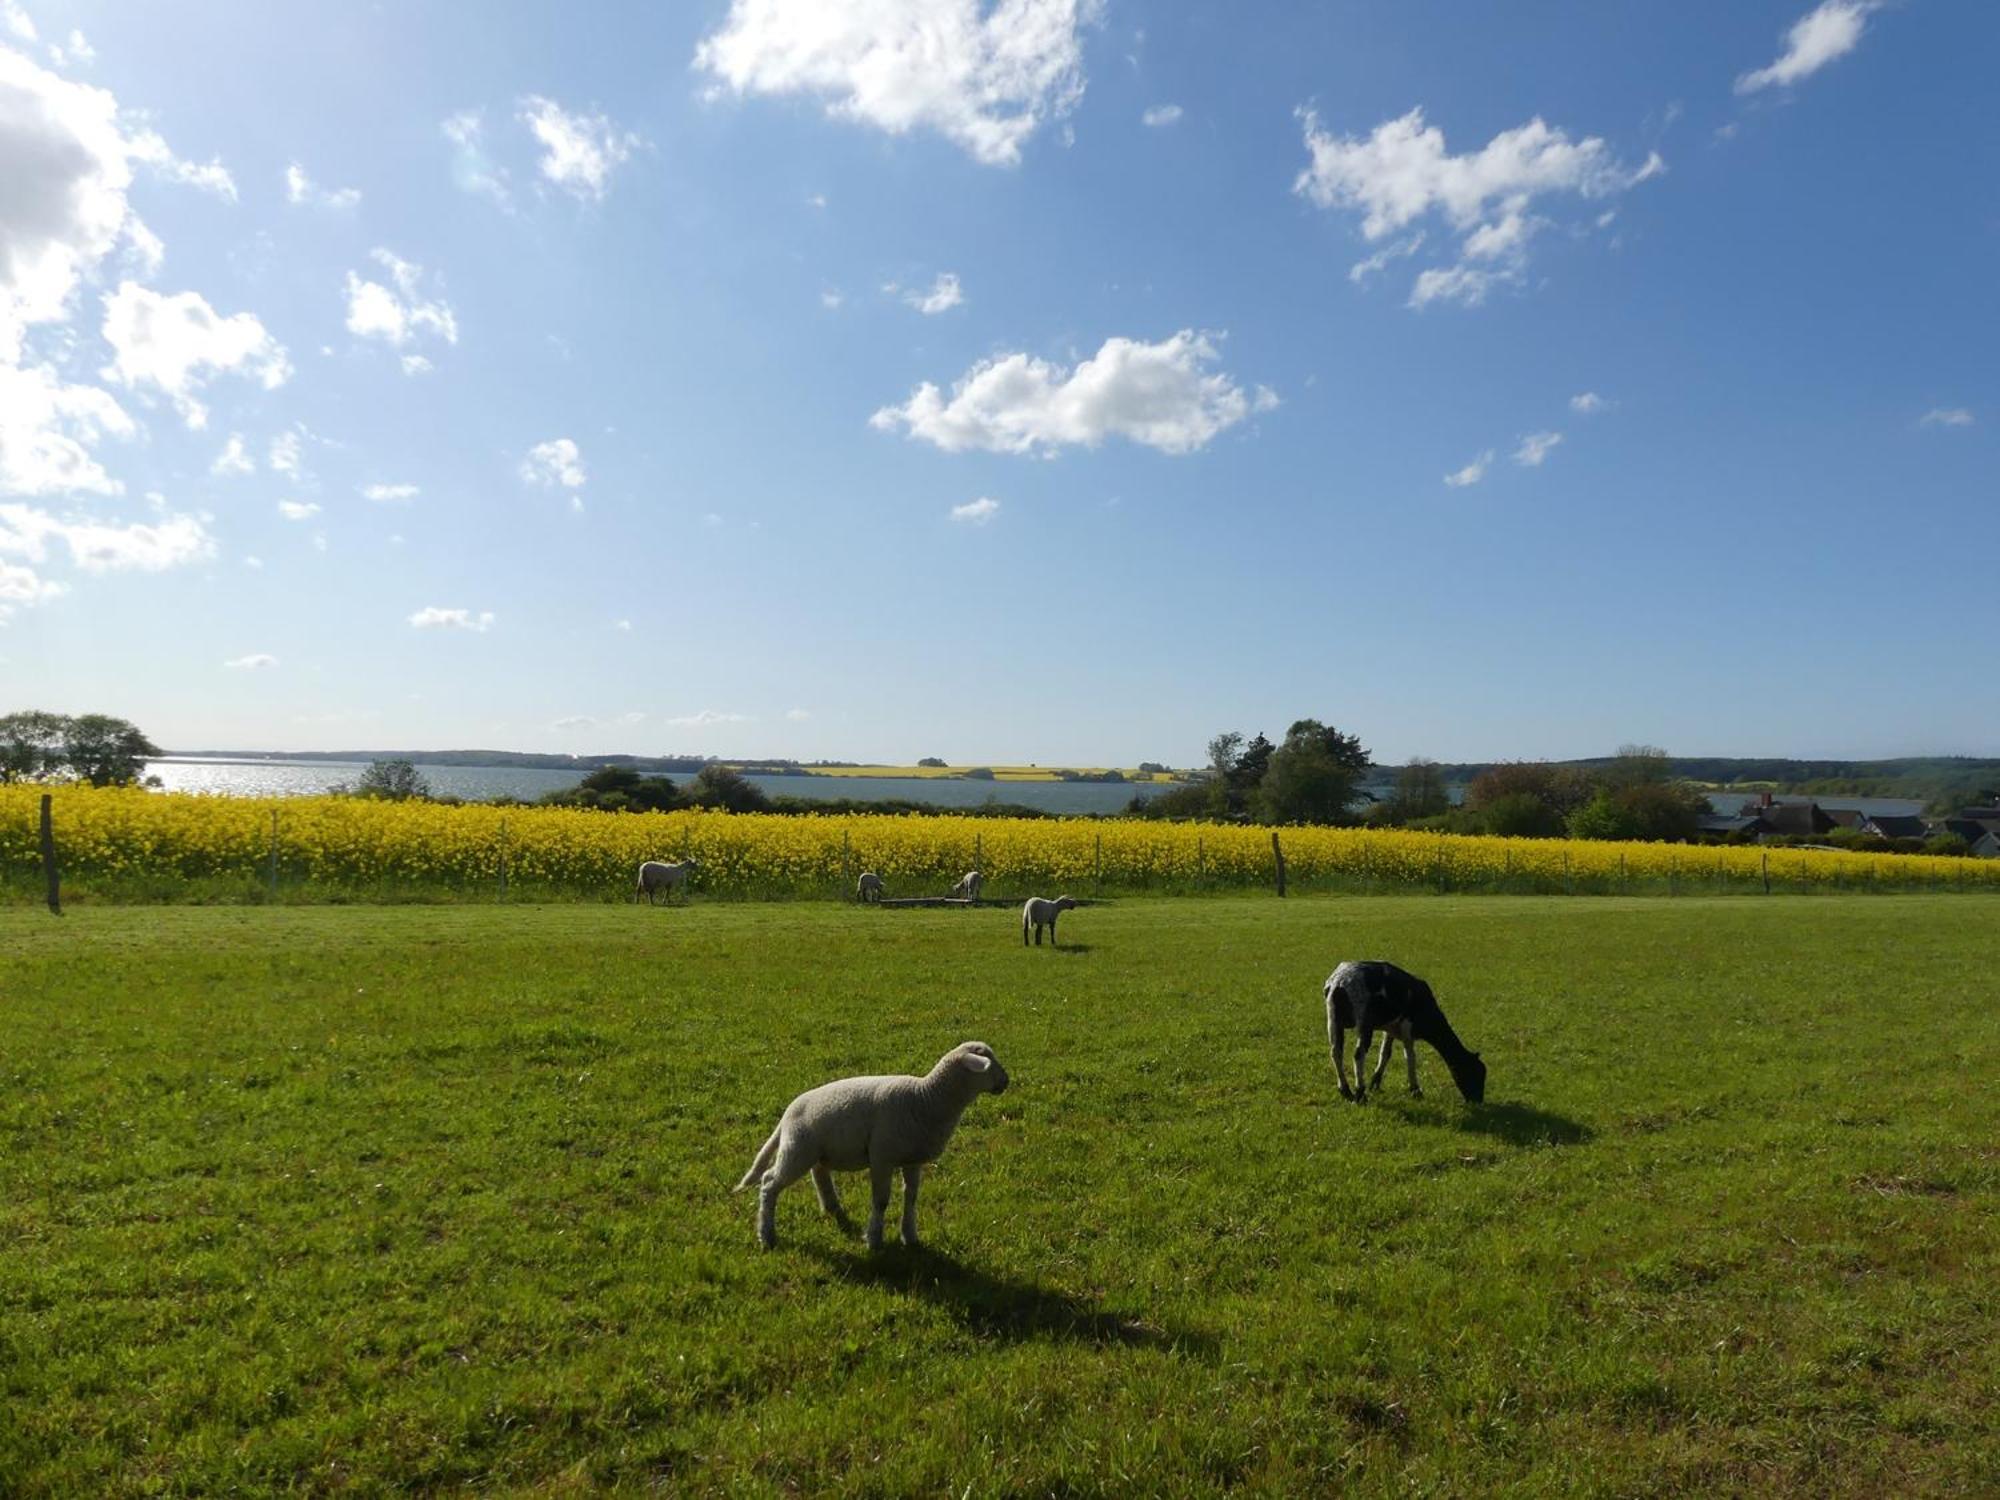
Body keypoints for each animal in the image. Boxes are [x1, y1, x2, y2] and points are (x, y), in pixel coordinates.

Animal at [732, 1040, 1008, 1248]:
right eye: (988, 1065)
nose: (1006, 1082)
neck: (926, 1098)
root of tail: (787, 1114)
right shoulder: (882, 1157)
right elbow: (881, 1200)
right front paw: (874, 1239)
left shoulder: (913, 1159)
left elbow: (911, 1197)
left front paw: (910, 1236)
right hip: (797, 1148)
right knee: (769, 1182)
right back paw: (767, 1235)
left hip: (815, 1150)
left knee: (819, 1173)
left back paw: (832, 1207)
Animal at [1328, 964, 1488, 1104]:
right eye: (1474, 1074)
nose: (1478, 1101)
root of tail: (1339, 982)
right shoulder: (1407, 1027)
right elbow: (1410, 1057)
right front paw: (1415, 1090)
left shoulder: (1391, 1028)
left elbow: (1385, 1053)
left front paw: (1376, 1083)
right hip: (1364, 1022)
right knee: (1358, 1055)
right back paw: (1360, 1094)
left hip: (1334, 1019)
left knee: (1336, 1052)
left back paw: (1345, 1090)